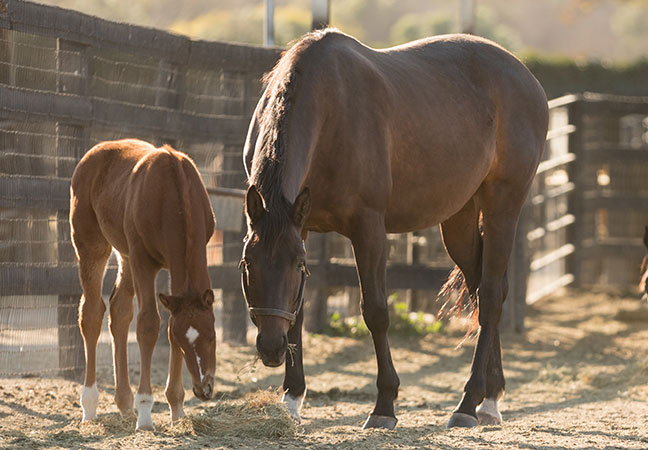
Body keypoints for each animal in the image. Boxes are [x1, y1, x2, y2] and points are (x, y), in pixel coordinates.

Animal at [69, 139, 215, 430]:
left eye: (212, 336)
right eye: (185, 344)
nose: (204, 389)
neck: (172, 190)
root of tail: (93, 153)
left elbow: (168, 324)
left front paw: (177, 409)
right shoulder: (143, 260)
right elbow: (149, 325)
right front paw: (146, 411)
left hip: (124, 255)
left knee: (119, 311)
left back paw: (125, 405)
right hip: (93, 245)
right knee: (91, 313)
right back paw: (90, 406)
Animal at [239, 29, 548, 430]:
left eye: (296, 266)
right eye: (247, 265)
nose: (271, 347)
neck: (329, 107)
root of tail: (527, 79)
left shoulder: (368, 230)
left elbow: (376, 312)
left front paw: (384, 405)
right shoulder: (300, 227)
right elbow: (300, 311)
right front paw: (292, 397)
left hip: (503, 206)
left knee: (493, 295)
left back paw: (468, 403)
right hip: (459, 220)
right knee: (481, 292)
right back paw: (490, 396)